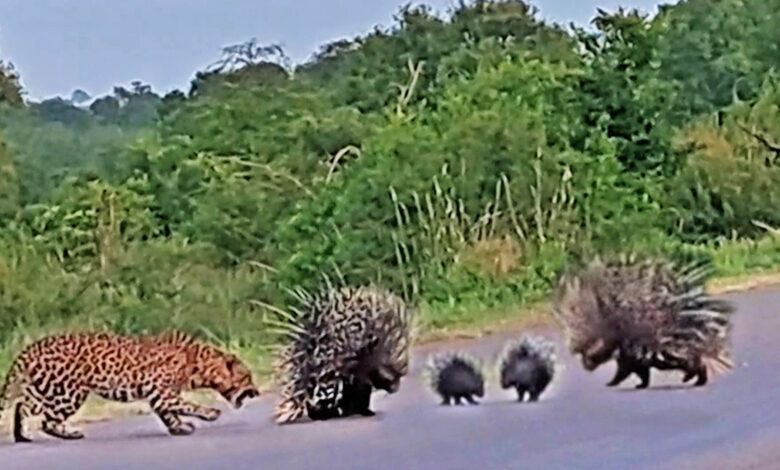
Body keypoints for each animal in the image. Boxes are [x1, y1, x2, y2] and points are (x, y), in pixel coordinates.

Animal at [0, 331, 260, 442]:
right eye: (247, 377)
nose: (256, 392)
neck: (200, 364)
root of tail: (34, 345)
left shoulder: (161, 395)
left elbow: (170, 413)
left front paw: (179, 428)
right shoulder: (160, 391)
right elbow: (184, 405)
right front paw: (210, 413)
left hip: (44, 388)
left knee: (23, 406)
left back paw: (22, 436)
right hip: (70, 392)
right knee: (47, 419)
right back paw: (71, 434)